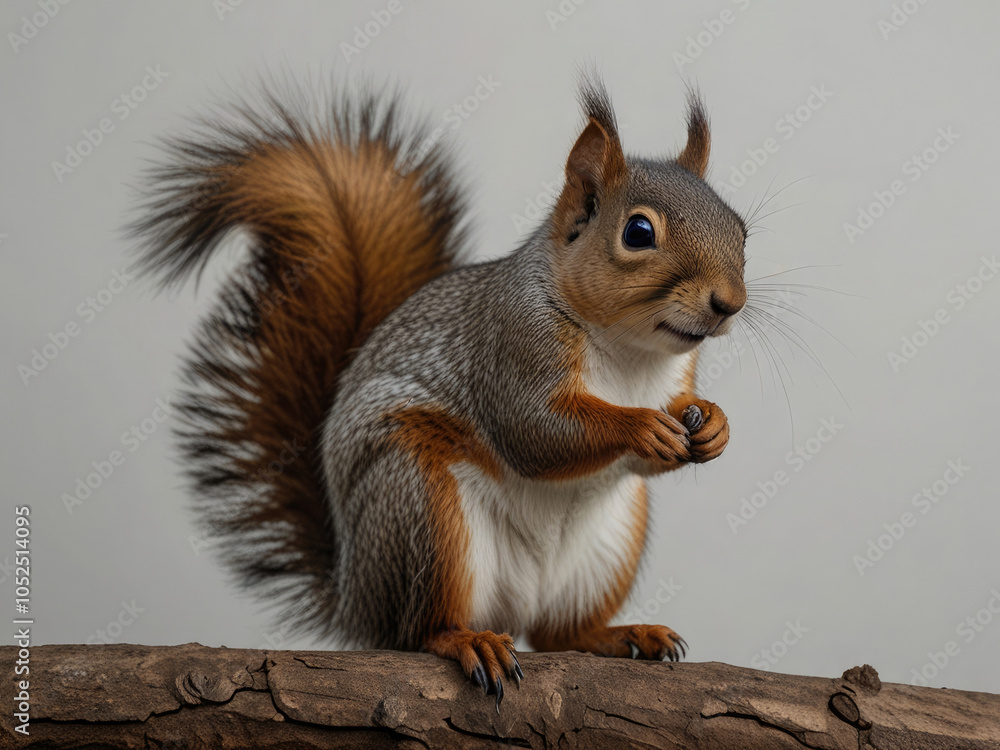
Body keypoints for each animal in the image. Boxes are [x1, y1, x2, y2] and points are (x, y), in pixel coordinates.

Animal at [132, 76, 747, 709]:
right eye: (638, 232)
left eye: (741, 229)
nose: (730, 303)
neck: (629, 352)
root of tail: (355, 597)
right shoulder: (514, 347)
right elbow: (536, 432)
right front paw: (641, 425)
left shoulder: (676, 377)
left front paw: (715, 424)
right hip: (420, 507)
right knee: (419, 631)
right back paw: (466, 640)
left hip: (606, 548)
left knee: (558, 634)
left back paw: (620, 634)